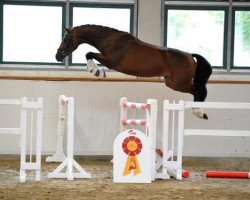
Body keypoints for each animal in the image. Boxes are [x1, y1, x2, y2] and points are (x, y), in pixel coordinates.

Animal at [55, 24, 212, 119]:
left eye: (65, 39)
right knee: (198, 91)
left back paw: (199, 112)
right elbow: (89, 54)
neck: (110, 40)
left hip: (179, 83)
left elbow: (89, 53)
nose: (57, 56)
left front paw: (96, 71)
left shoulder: (111, 61)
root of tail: (190, 56)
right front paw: (96, 71)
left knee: (198, 91)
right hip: (171, 83)